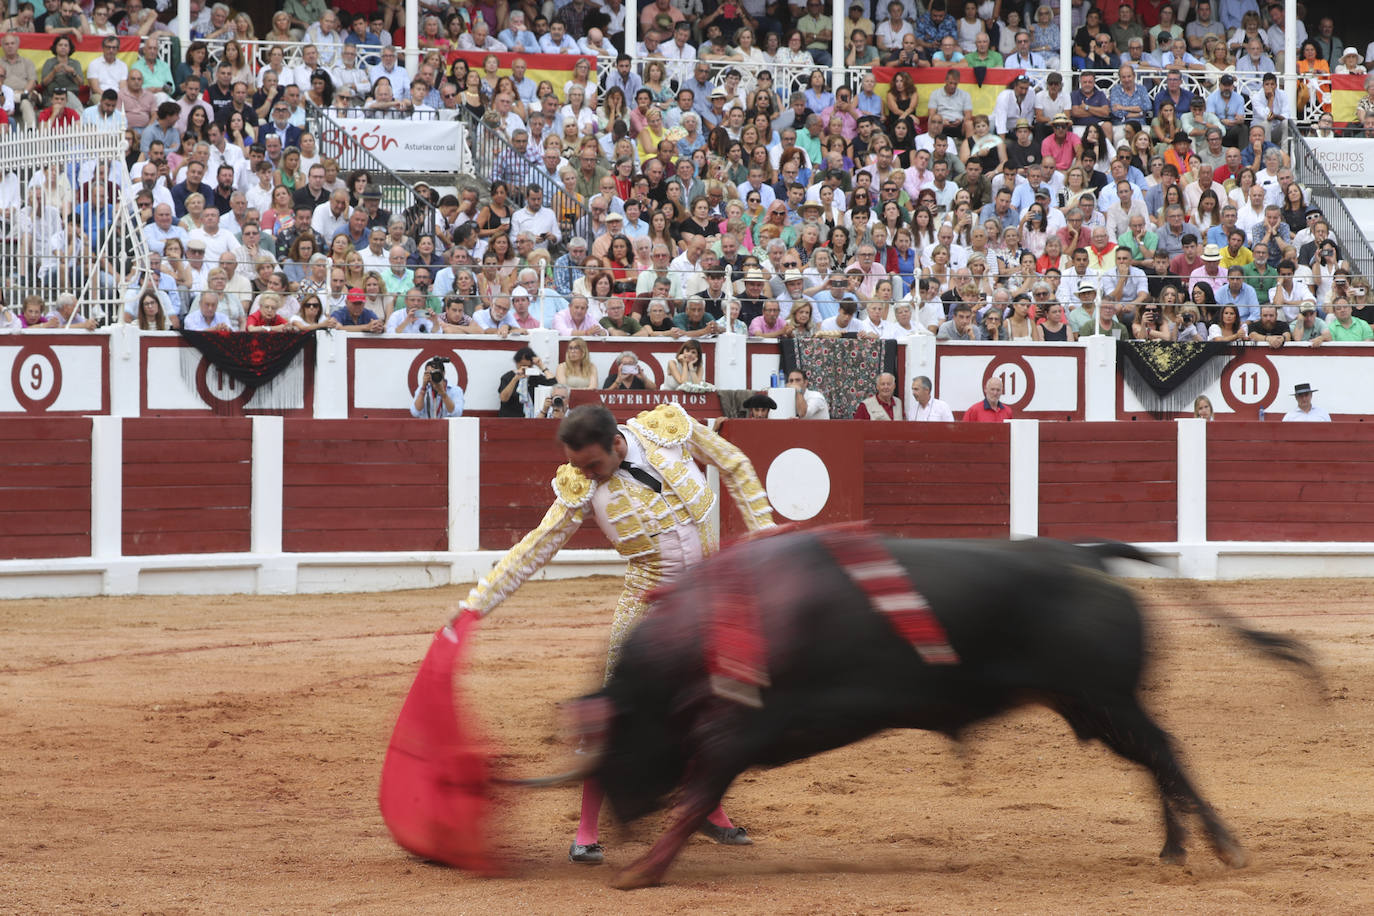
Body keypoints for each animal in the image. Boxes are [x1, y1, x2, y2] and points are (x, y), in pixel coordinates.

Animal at [538, 530, 1319, 889]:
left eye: (622, 737)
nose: (619, 817)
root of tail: (1086, 554)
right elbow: (702, 789)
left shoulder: (743, 728)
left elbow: (700, 789)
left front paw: (641, 871)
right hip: (1092, 707)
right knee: (1154, 759)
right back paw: (1175, 848)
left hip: (1108, 698)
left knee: (1166, 750)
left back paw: (1219, 844)